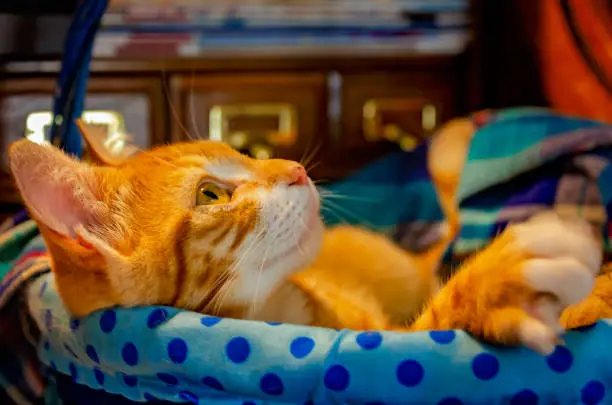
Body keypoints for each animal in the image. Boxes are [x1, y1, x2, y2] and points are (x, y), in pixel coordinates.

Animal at [4, 124, 604, 356]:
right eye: (210, 194)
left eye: (244, 153)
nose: (295, 168)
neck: (282, 308)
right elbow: (437, 322)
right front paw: (498, 287)